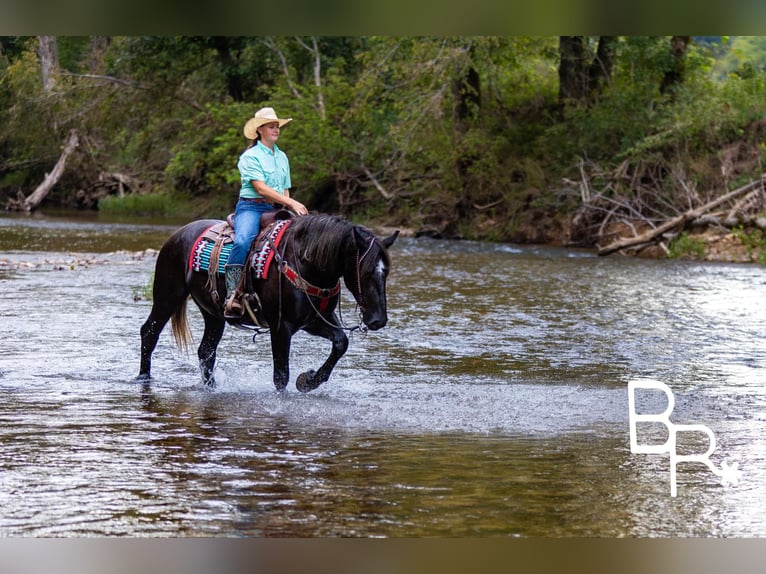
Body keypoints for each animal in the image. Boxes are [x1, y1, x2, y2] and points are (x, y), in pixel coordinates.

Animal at [136, 213, 398, 392]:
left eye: (385, 272)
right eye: (366, 272)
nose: (378, 320)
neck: (306, 262)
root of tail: (177, 235)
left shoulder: (314, 320)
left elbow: (341, 343)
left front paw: (308, 380)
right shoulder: (281, 326)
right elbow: (281, 375)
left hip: (212, 313)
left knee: (206, 351)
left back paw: (211, 387)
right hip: (168, 296)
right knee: (149, 332)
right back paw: (143, 378)